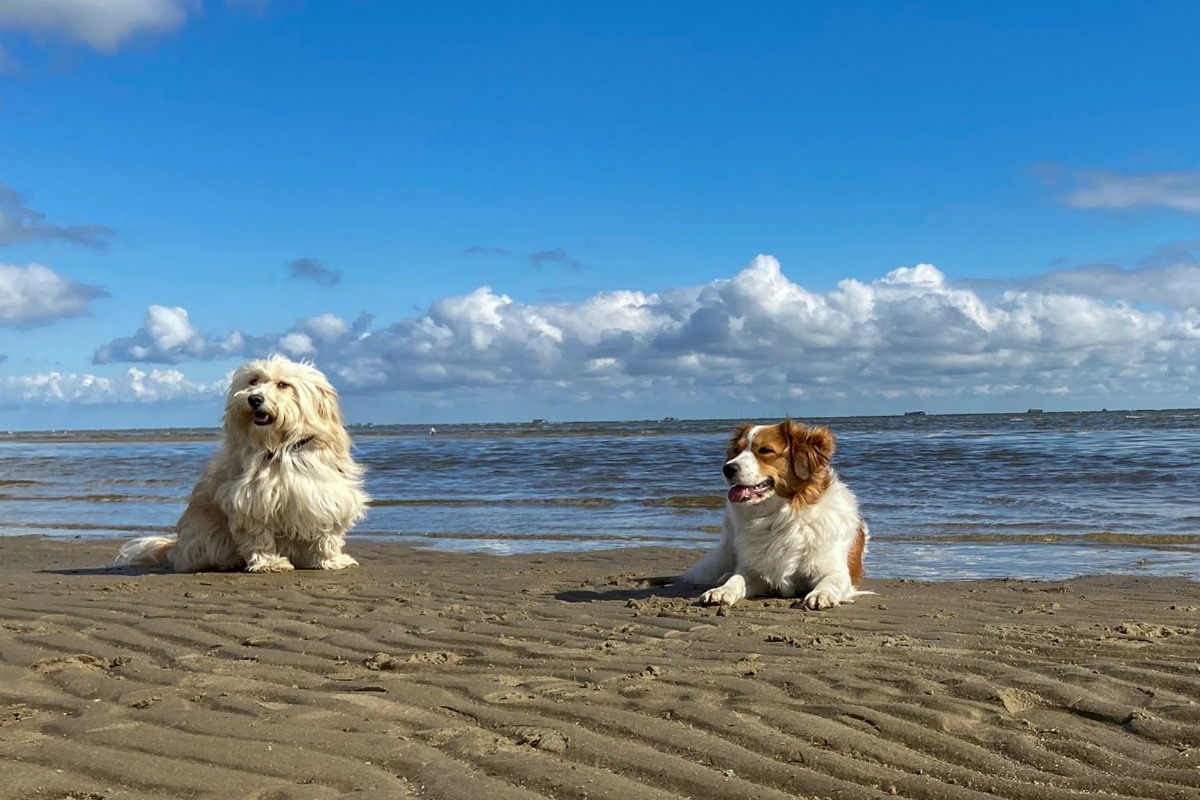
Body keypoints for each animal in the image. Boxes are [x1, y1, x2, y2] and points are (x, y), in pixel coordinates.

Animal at [120, 352, 369, 573]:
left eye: (283, 384)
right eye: (253, 381)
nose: (254, 399)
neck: (282, 448)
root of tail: (176, 549)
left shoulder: (327, 496)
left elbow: (327, 534)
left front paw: (332, 560)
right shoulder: (250, 501)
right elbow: (258, 536)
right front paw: (269, 562)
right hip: (204, 532)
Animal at [681, 417, 868, 609]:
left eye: (765, 450)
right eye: (736, 451)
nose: (727, 469)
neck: (779, 518)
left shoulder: (835, 571)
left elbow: (831, 581)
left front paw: (820, 593)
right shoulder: (754, 572)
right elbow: (738, 578)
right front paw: (722, 590)